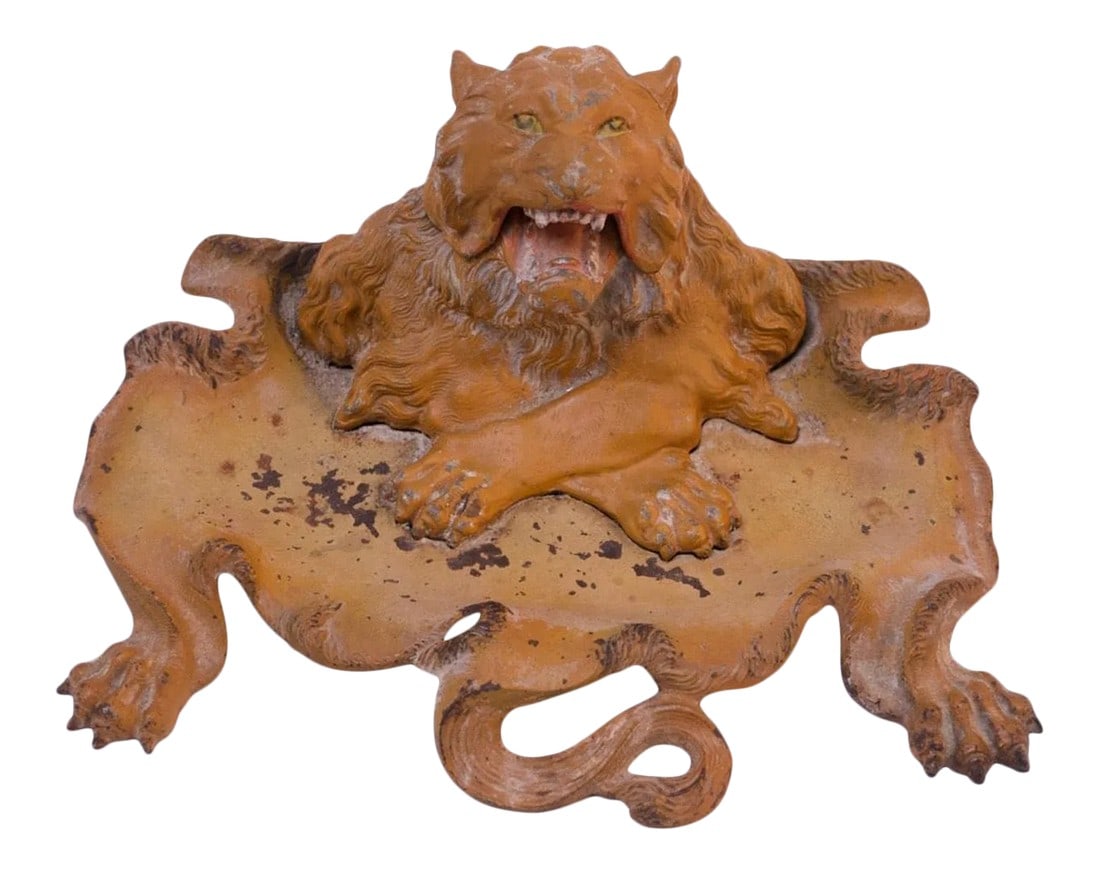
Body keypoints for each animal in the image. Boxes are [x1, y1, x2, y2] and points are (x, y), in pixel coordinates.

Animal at [297, 46, 807, 559]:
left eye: (614, 126)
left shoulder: (696, 354)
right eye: (525, 121)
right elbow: (476, 400)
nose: (570, 178)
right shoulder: (411, 346)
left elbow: (591, 412)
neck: (557, 327)